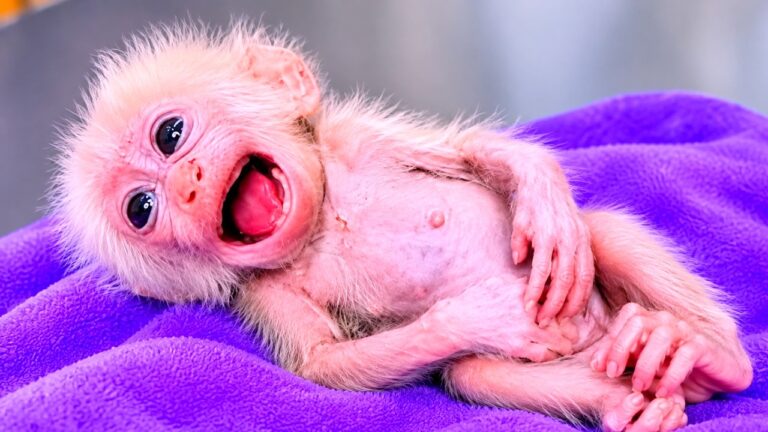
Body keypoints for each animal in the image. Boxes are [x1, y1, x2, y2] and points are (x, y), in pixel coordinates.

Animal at [50, 22, 752, 431]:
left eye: (170, 134)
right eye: (142, 209)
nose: (188, 186)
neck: (323, 219)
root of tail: (607, 334)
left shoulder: (355, 137)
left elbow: (466, 151)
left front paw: (536, 187)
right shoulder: (263, 291)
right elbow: (327, 366)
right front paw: (476, 316)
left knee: (600, 233)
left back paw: (707, 354)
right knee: (472, 376)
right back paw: (649, 390)